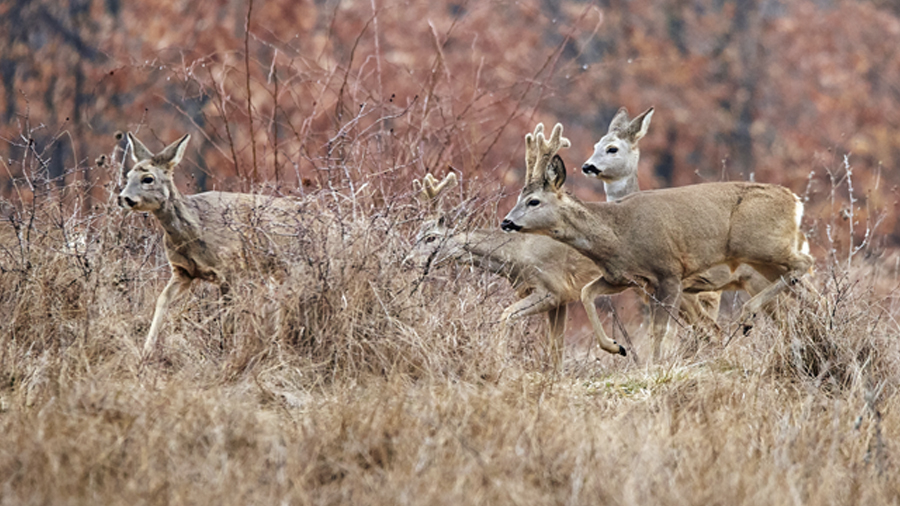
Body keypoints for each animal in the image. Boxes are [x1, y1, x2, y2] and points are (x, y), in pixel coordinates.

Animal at [116, 132, 302, 358]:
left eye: (148, 179)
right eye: (127, 177)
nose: (122, 198)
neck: (194, 232)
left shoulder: (229, 270)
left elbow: (227, 316)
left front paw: (227, 352)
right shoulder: (182, 272)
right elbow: (162, 300)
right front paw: (146, 350)